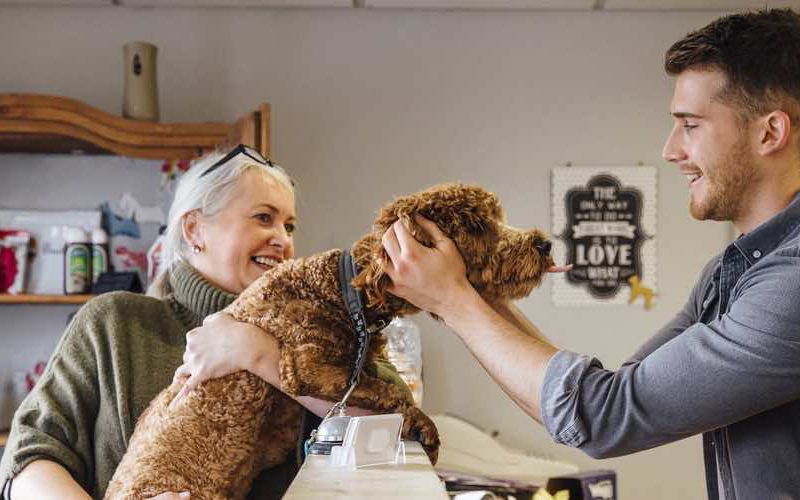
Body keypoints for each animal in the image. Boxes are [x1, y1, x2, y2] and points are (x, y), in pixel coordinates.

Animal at [104, 184, 556, 500]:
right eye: (478, 226)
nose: (545, 242)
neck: (343, 291)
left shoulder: (359, 365)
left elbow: (382, 386)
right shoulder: (306, 366)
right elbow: (393, 393)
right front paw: (424, 427)